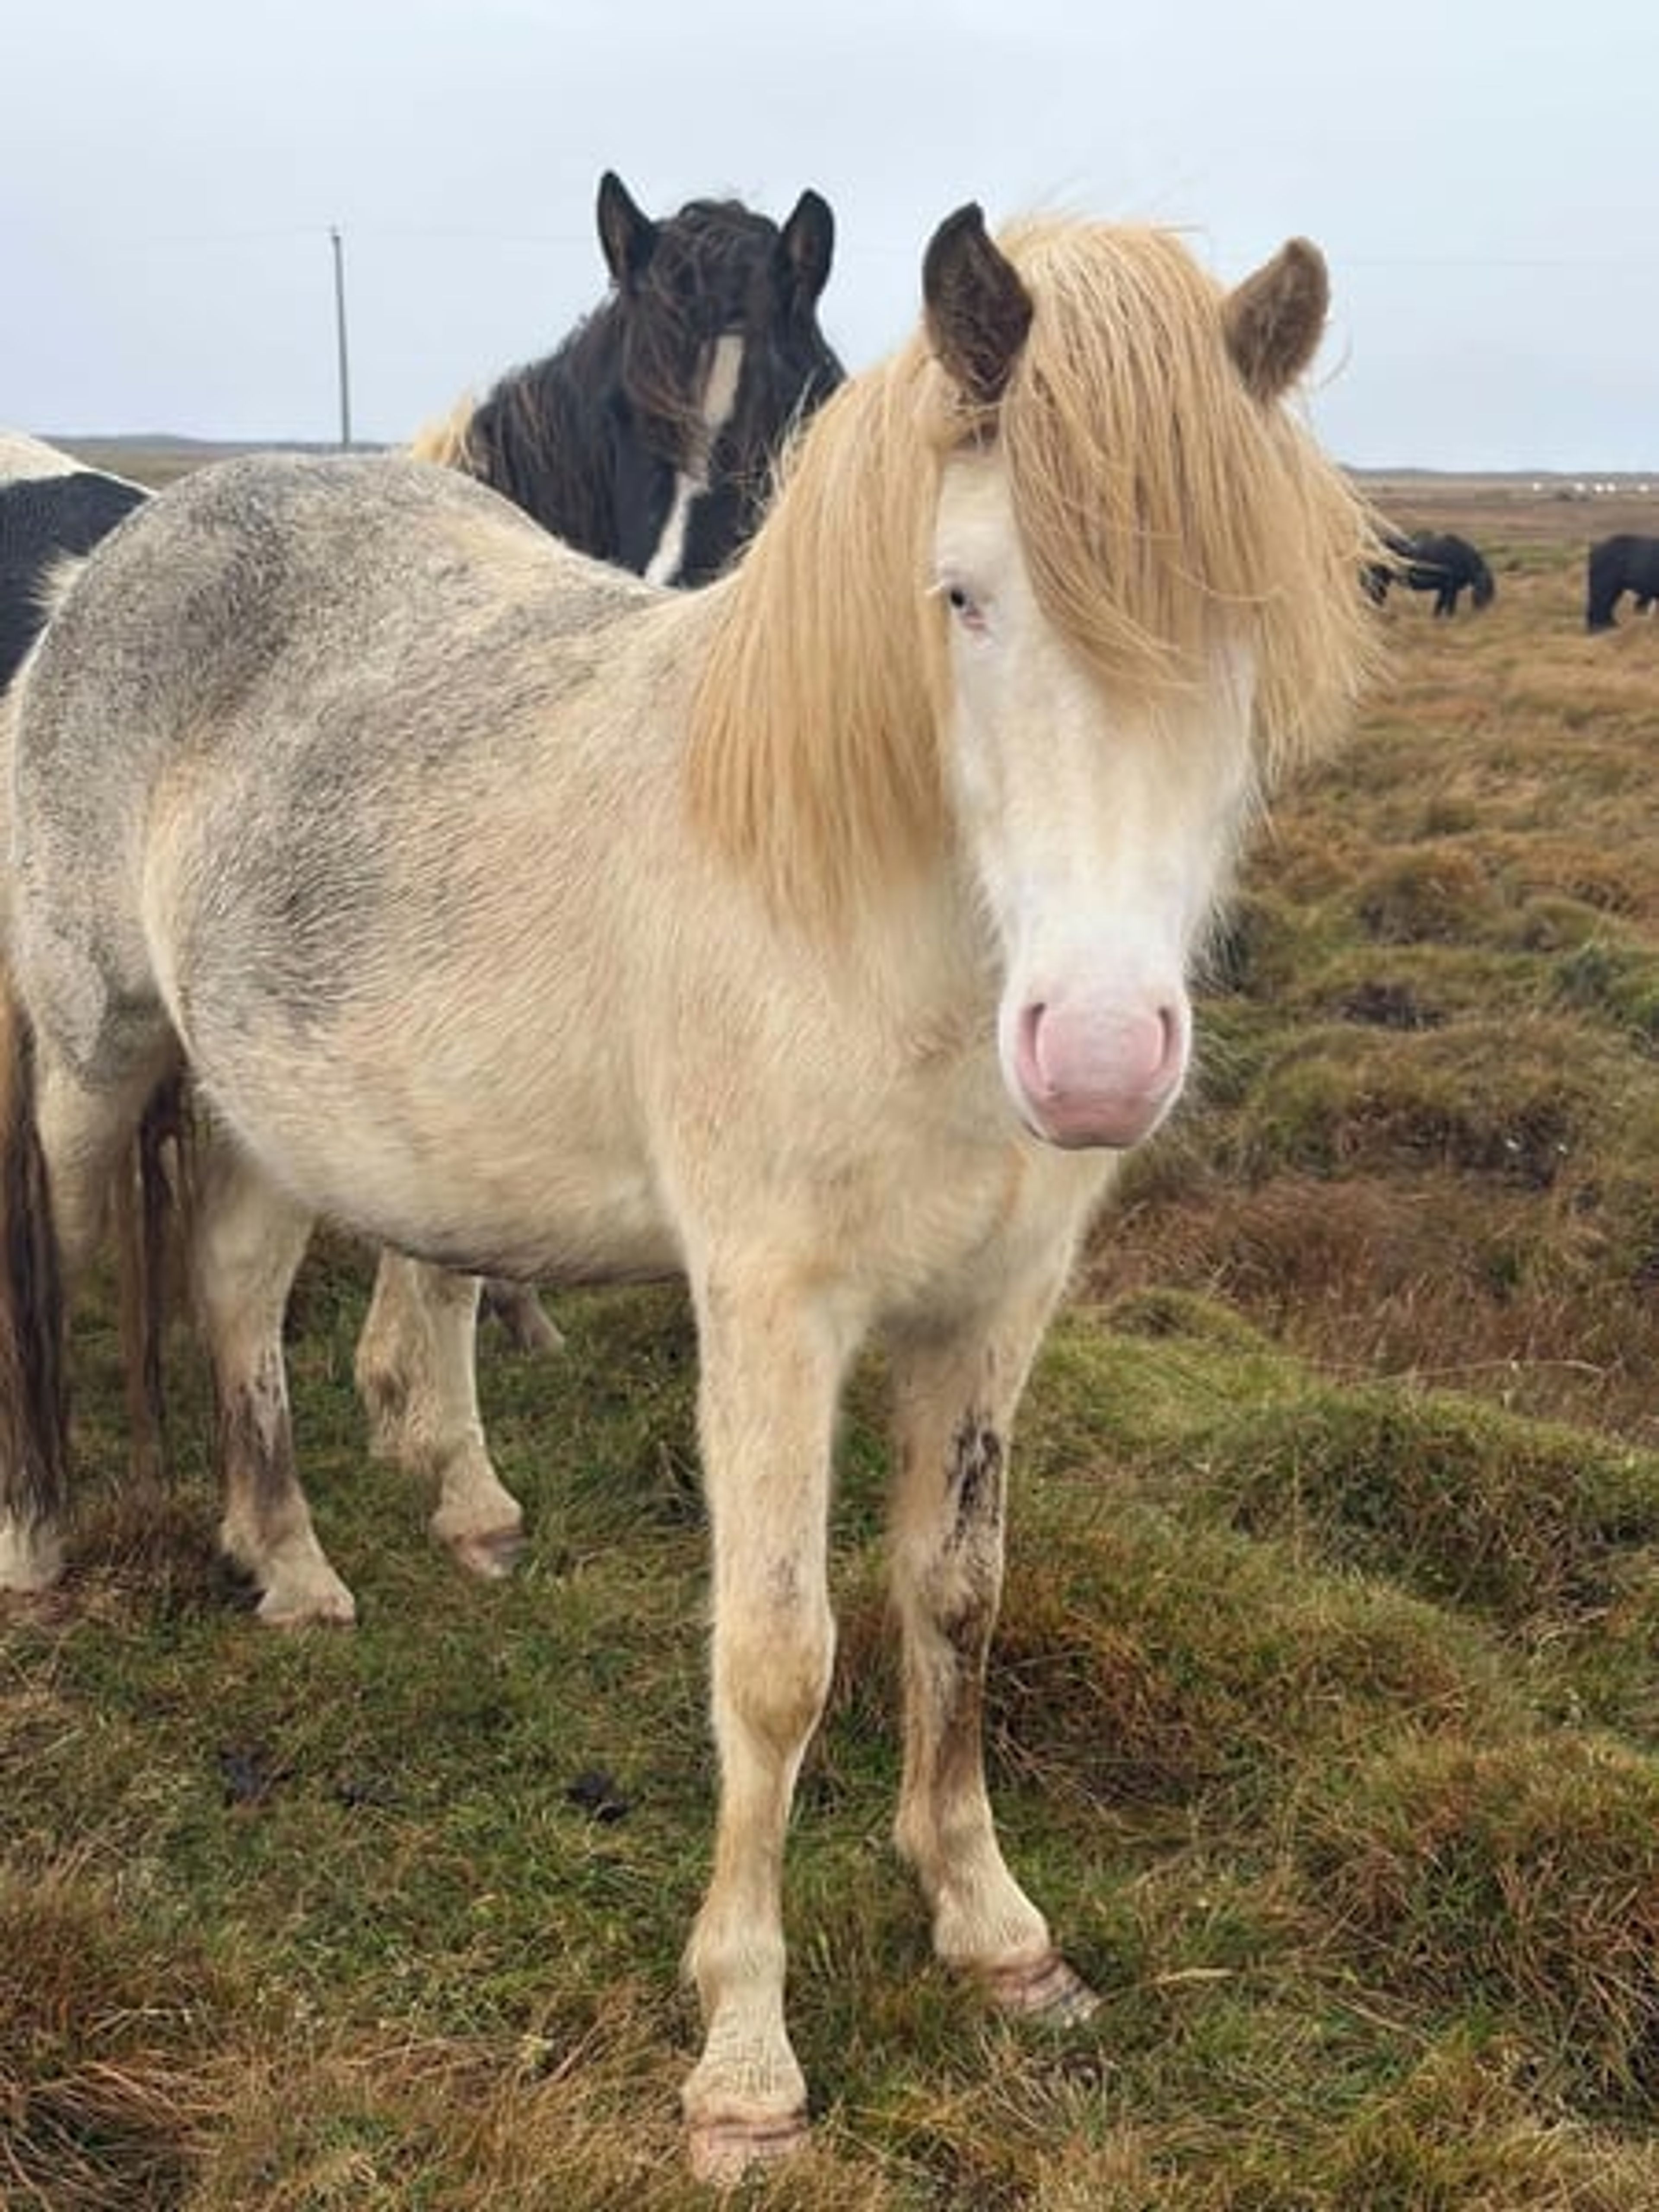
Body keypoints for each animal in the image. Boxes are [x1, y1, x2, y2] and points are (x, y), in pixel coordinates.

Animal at [0, 205, 1376, 2178]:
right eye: (964, 596)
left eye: (1247, 616)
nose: (1103, 1055)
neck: (864, 897)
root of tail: (104, 565)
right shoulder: (773, 1309)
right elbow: (780, 1655)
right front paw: (744, 2057)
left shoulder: (993, 1310)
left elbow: (958, 1599)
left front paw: (994, 1925)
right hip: (95, 1057)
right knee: (47, 1274)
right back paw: (40, 1552)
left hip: (272, 1109)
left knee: (239, 1291)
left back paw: (290, 1561)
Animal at [1364, 527, 1495, 615]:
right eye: (1485, 590)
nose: (1482, 614)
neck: (1463, 557)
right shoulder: (1451, 589)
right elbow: (1450, 609)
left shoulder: (1444, 588)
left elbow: (1438, 607)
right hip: (1378, 579)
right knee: (1375, 597)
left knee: (1378, 597)